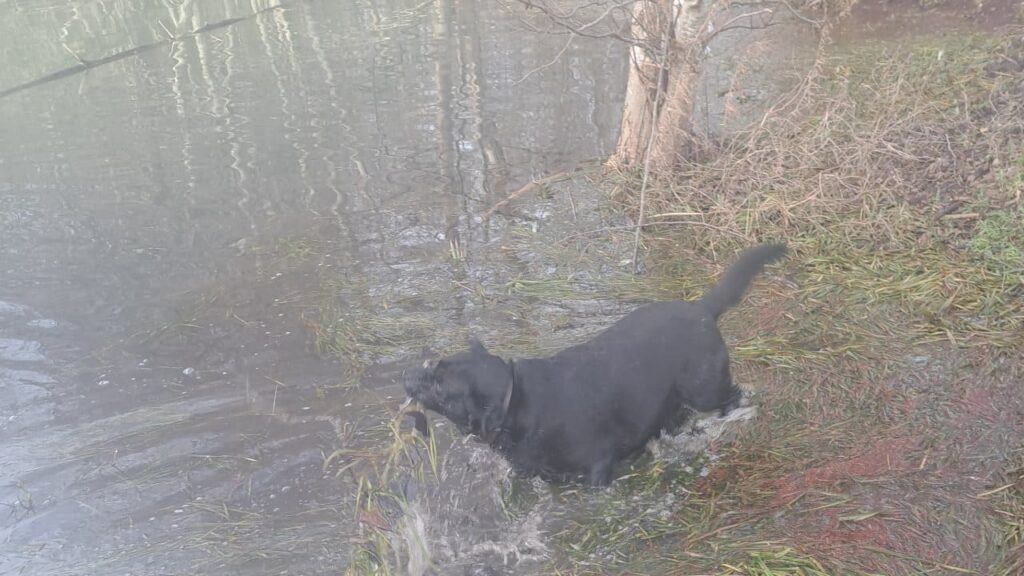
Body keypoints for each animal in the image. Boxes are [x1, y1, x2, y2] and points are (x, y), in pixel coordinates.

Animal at [403, 241, 786, 483]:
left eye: (440, 385)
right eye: (433, 367)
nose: (406, 379)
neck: (517, 402)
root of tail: (702, 309)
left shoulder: (597, 467)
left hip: (705, 389)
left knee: (731, 396)